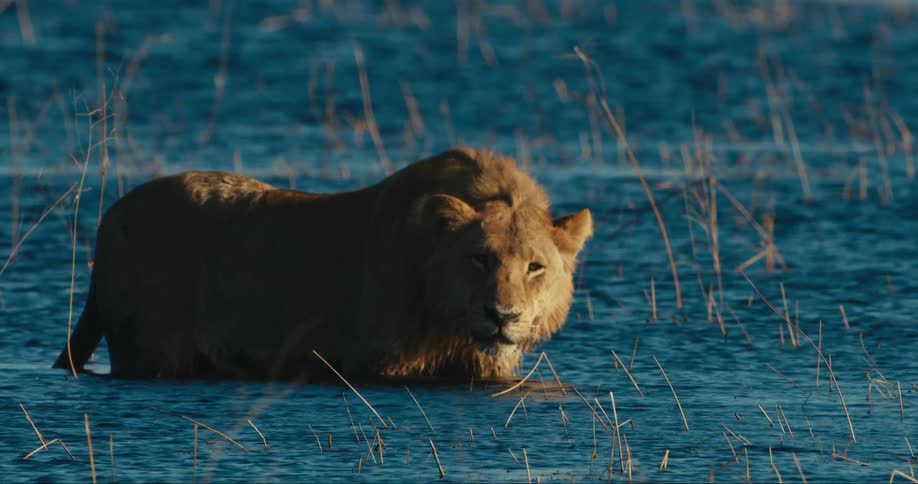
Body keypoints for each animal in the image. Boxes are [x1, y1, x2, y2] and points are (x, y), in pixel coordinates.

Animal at [52, 147, 593, 381]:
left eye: (535, 267)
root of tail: (110, 216)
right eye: (480, 258)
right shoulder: (378, 360)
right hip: (150, 347)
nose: (503, 316)